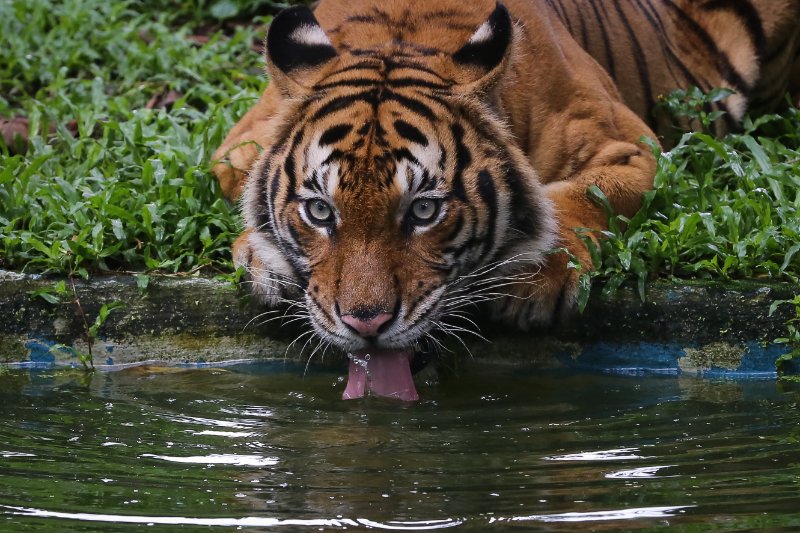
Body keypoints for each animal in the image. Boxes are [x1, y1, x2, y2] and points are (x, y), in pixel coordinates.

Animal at [211, 0, 800, 400]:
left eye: (424, 210)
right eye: (320, 210)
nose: (366, 326)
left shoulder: (630, 147)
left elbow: (580, 196)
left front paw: (537, 280)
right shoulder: (235, 149)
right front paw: (263, 258)